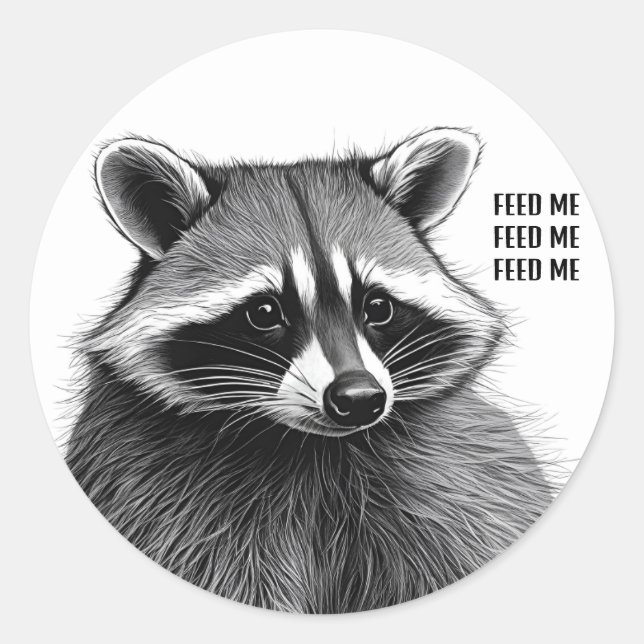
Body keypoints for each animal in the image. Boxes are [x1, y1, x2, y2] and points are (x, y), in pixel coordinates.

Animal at [66, 128, 553, 613]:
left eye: (378, 307)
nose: (359, 399)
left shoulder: (454, 482)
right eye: (264, 312)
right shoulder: (158, 492)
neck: (315, 450)